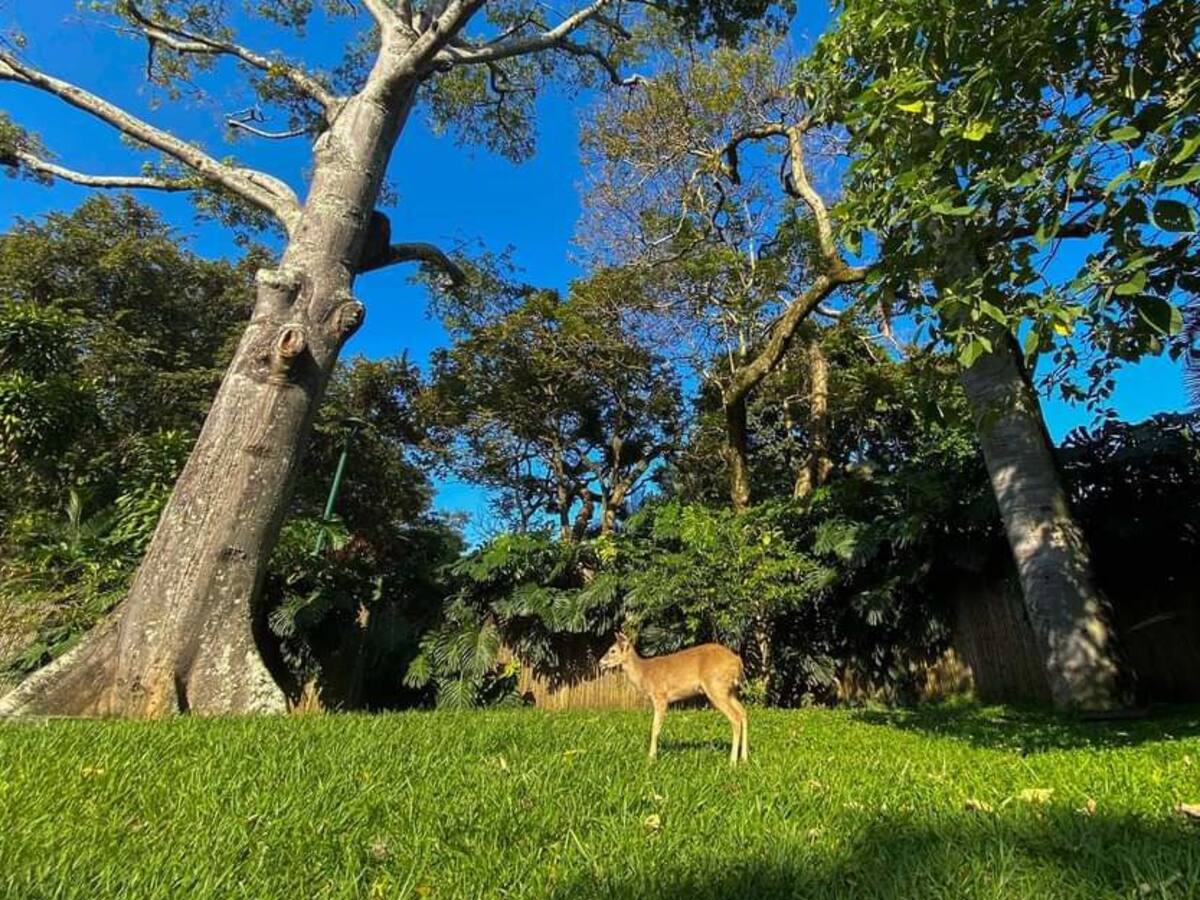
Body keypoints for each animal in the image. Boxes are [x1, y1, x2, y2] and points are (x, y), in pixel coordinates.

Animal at [599, 632, 748, 764]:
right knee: (743, 713)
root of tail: (738, 662)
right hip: (729, 691)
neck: (644, 673)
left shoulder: (660, 696)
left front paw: (651, 758)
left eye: (612, 650)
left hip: (716, 687)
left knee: (735, 717)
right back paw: (744, 758)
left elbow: (655, 728)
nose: (600, 663)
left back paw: (732, 761)